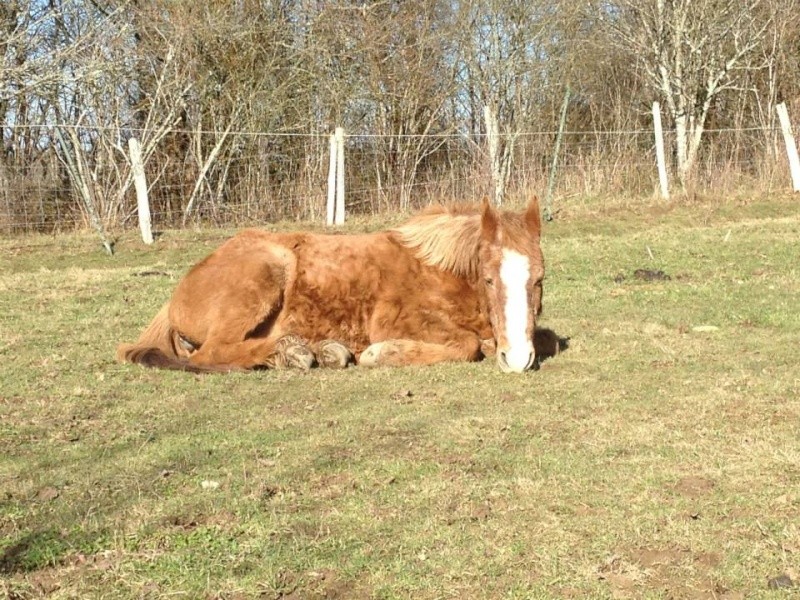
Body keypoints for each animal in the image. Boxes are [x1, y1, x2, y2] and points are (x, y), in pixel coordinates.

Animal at [115, 197, 548, 372]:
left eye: (540, 279)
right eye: (489, 278)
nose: (517, 361)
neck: (440, 268)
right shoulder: (394, 321)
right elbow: (467, 345)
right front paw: (380, 354)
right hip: (266, 273)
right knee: (214, 352)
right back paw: (295, 352)